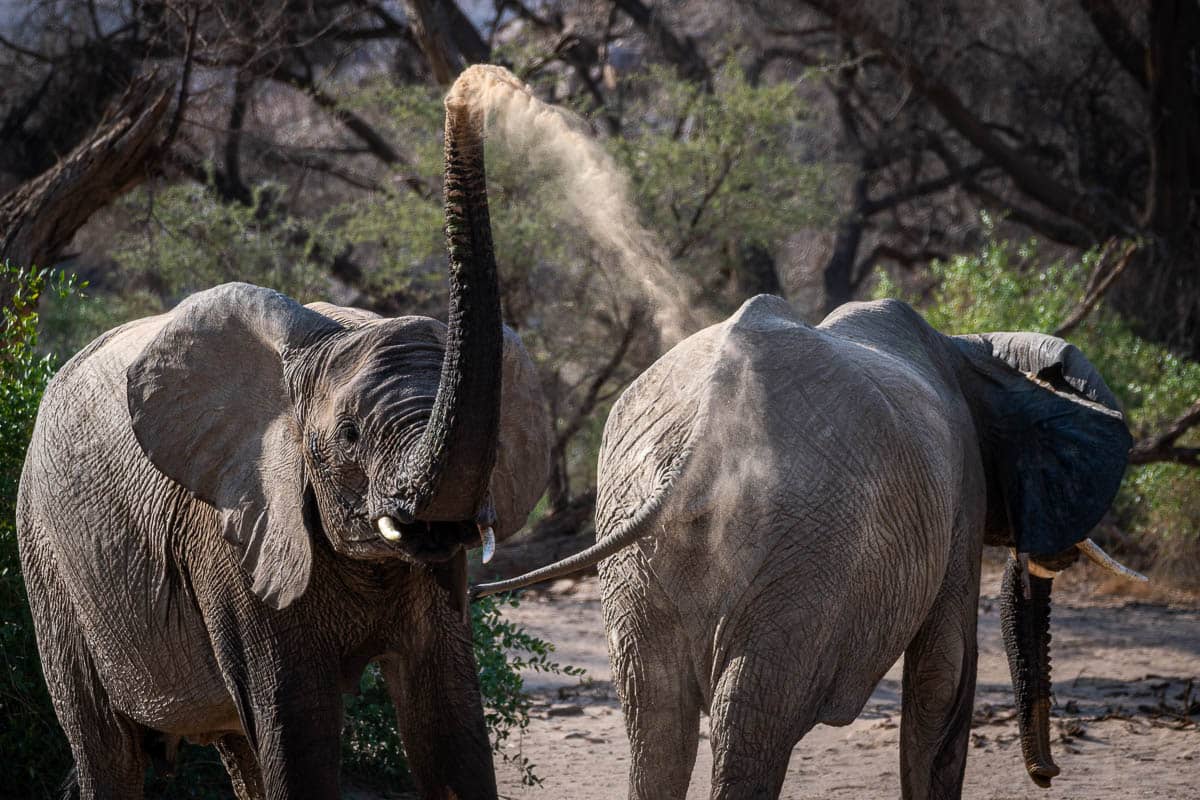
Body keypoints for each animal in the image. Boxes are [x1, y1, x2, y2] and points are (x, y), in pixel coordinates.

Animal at [16, 68, 550, 800]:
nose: (471, 88)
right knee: (106, 750)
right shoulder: (228, 536)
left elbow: (449, 726)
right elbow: (296, 723)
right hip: (49, 568)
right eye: (348, 434)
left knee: (237, 747)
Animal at [474, 294, 1145, 799]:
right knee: (750, 717)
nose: (1048, 774)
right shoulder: (962, 489)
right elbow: (945, 670)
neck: (974, 347)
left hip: (635, 536)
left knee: (656, 716)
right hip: (811, 542)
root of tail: (703, 431)